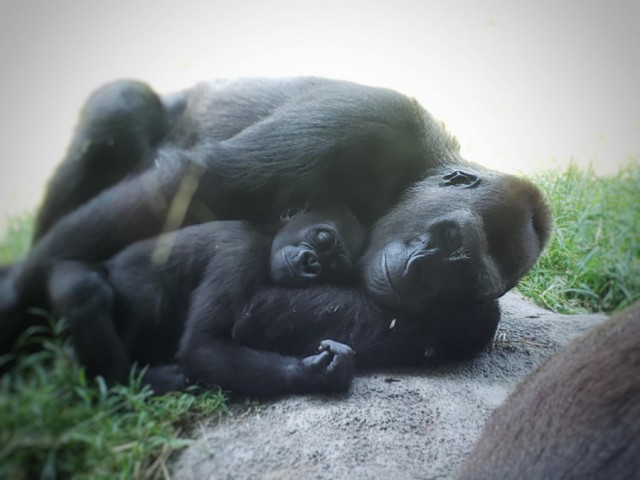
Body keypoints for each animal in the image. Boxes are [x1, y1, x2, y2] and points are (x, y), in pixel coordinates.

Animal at [0, 78, 552, 394]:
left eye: (459, 280)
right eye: (450, 236)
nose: (419, 273)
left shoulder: (470, 315)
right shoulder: (369, 118)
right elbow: (192, 183)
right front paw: (17, 304)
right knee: (122, 106)